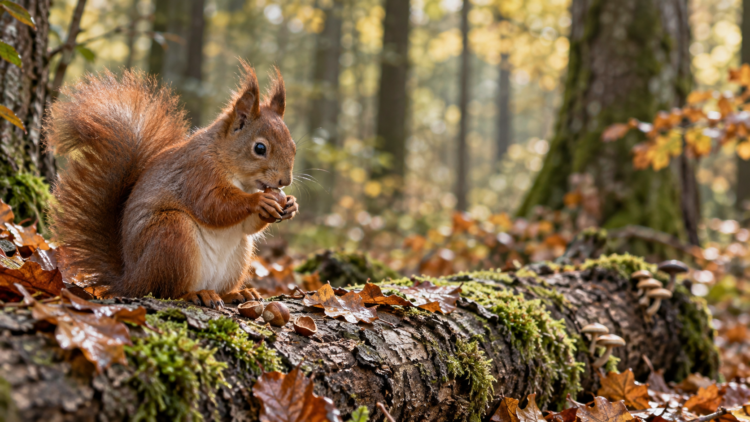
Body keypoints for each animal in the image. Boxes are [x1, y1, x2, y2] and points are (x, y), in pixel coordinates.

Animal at [46, 61, 298, 308]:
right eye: (260, 148)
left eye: (293, 147)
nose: (285, 181)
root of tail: (131, 280)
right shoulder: (197, 172)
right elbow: (212, 206)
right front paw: (259, 200)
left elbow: (246, 226)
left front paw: (291, 205)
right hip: (172, 234)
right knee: (167, 291)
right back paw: (196, 295)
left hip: (237, 256)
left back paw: (236, 293)